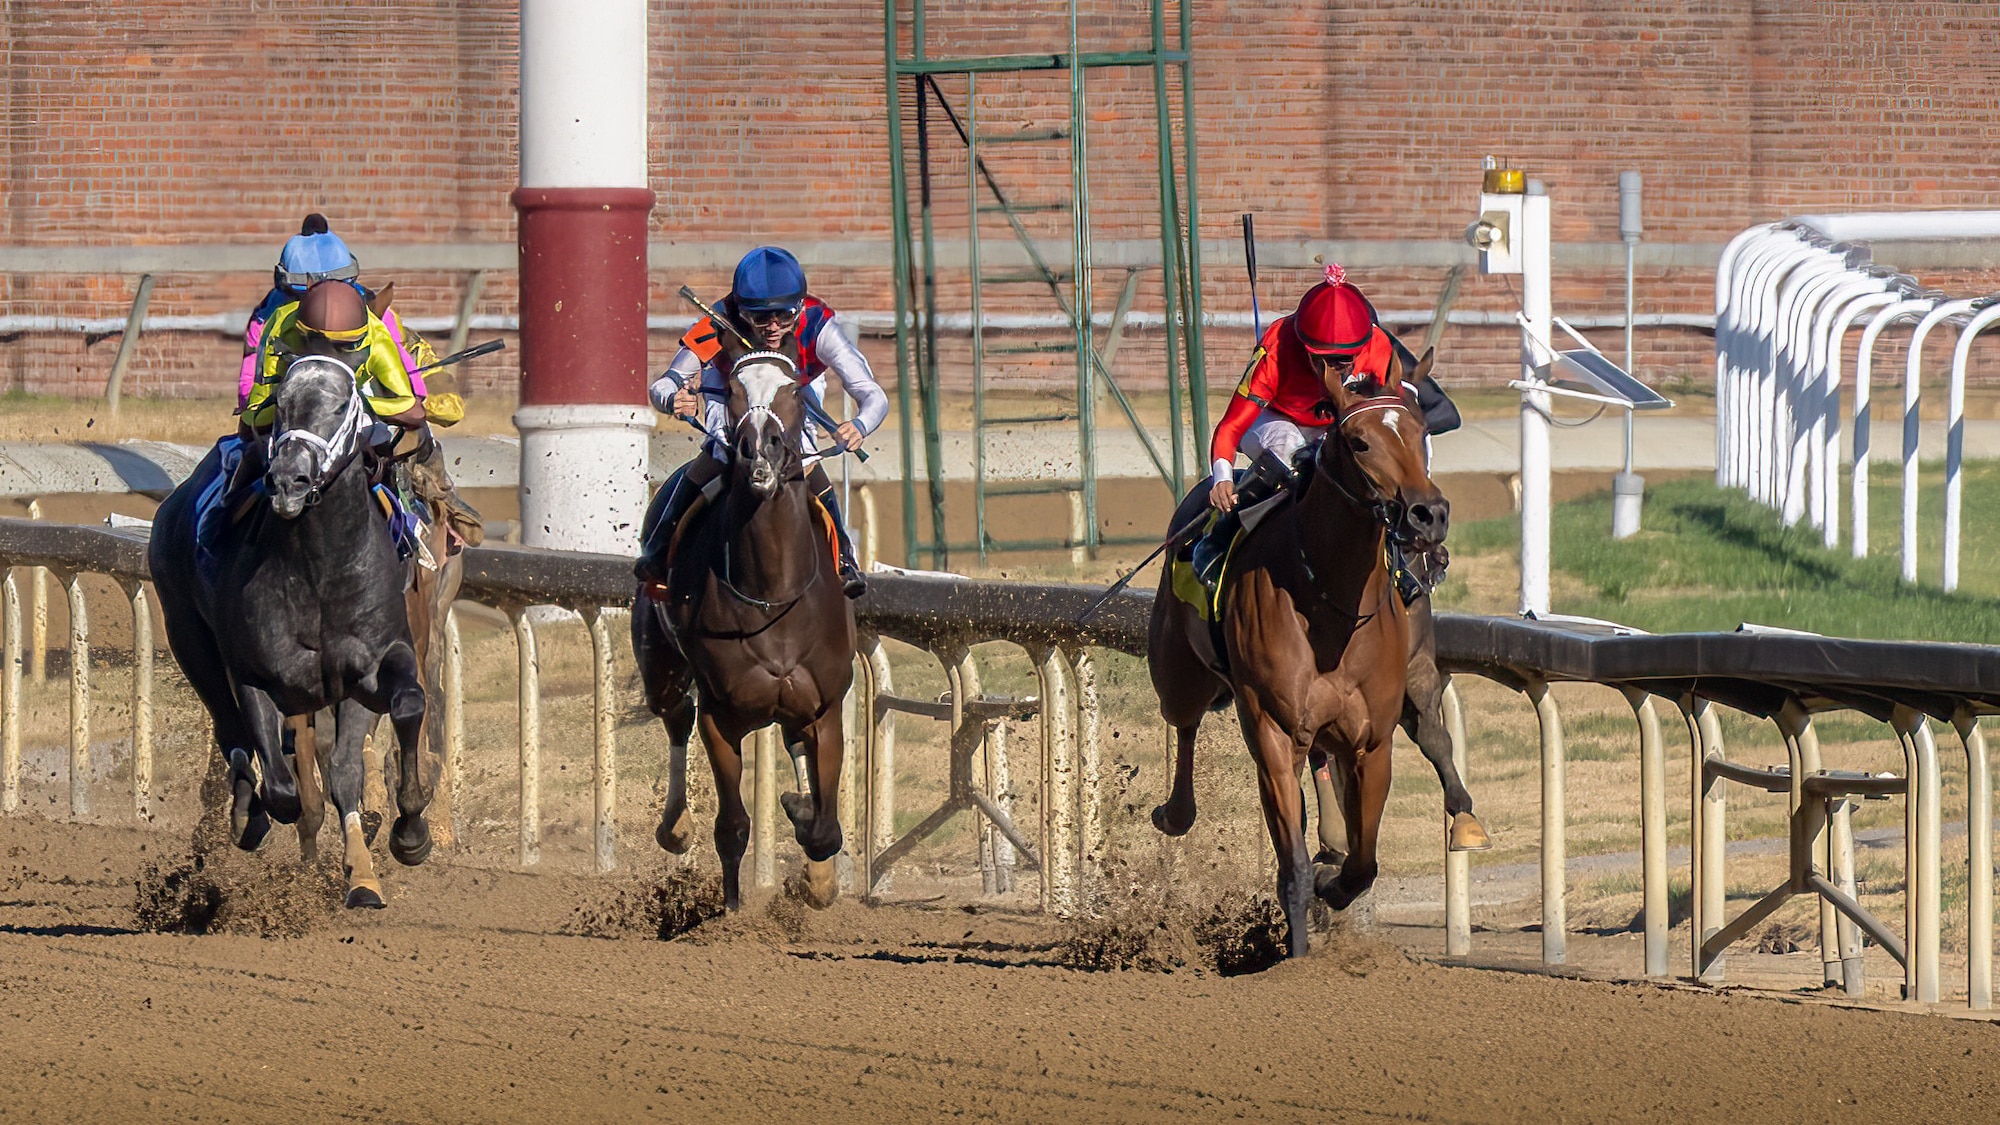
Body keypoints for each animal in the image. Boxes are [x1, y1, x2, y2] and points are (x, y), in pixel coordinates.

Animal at [153, 350, 438, 900]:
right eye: (280, 403)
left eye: (343, 405)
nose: (289, 481)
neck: (319, 568)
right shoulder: (258, 676)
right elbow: (283, 787)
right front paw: (259, 815)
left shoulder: (372, 666)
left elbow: (399, 715)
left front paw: (404, 838)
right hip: (188, 638)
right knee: (233, 733)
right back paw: (248, 816)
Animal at [632, 330, 852, 900]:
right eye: (732, 389)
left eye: (795, 390)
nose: (761, 449)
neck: (772, 595)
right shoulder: (721, 714)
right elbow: (731, 828)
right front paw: (731, 913)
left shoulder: (824, 707)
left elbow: (826, 829)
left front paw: (805, 823)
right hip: (660, 667)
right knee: (675, 717)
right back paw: (675, 827)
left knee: (793, 745)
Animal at [1160, 344, 1456, 952]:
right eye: (1360, 441)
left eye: (1420, 432)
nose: (1428, 514)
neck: (1329, 603)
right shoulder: (1274, 733)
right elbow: (1291, 869)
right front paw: (1297, 953)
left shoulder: (1371, 740)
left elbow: (1362, 864)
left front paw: (1332, 881)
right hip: (1177, 672)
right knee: (1184, 721)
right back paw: (1176, 813)